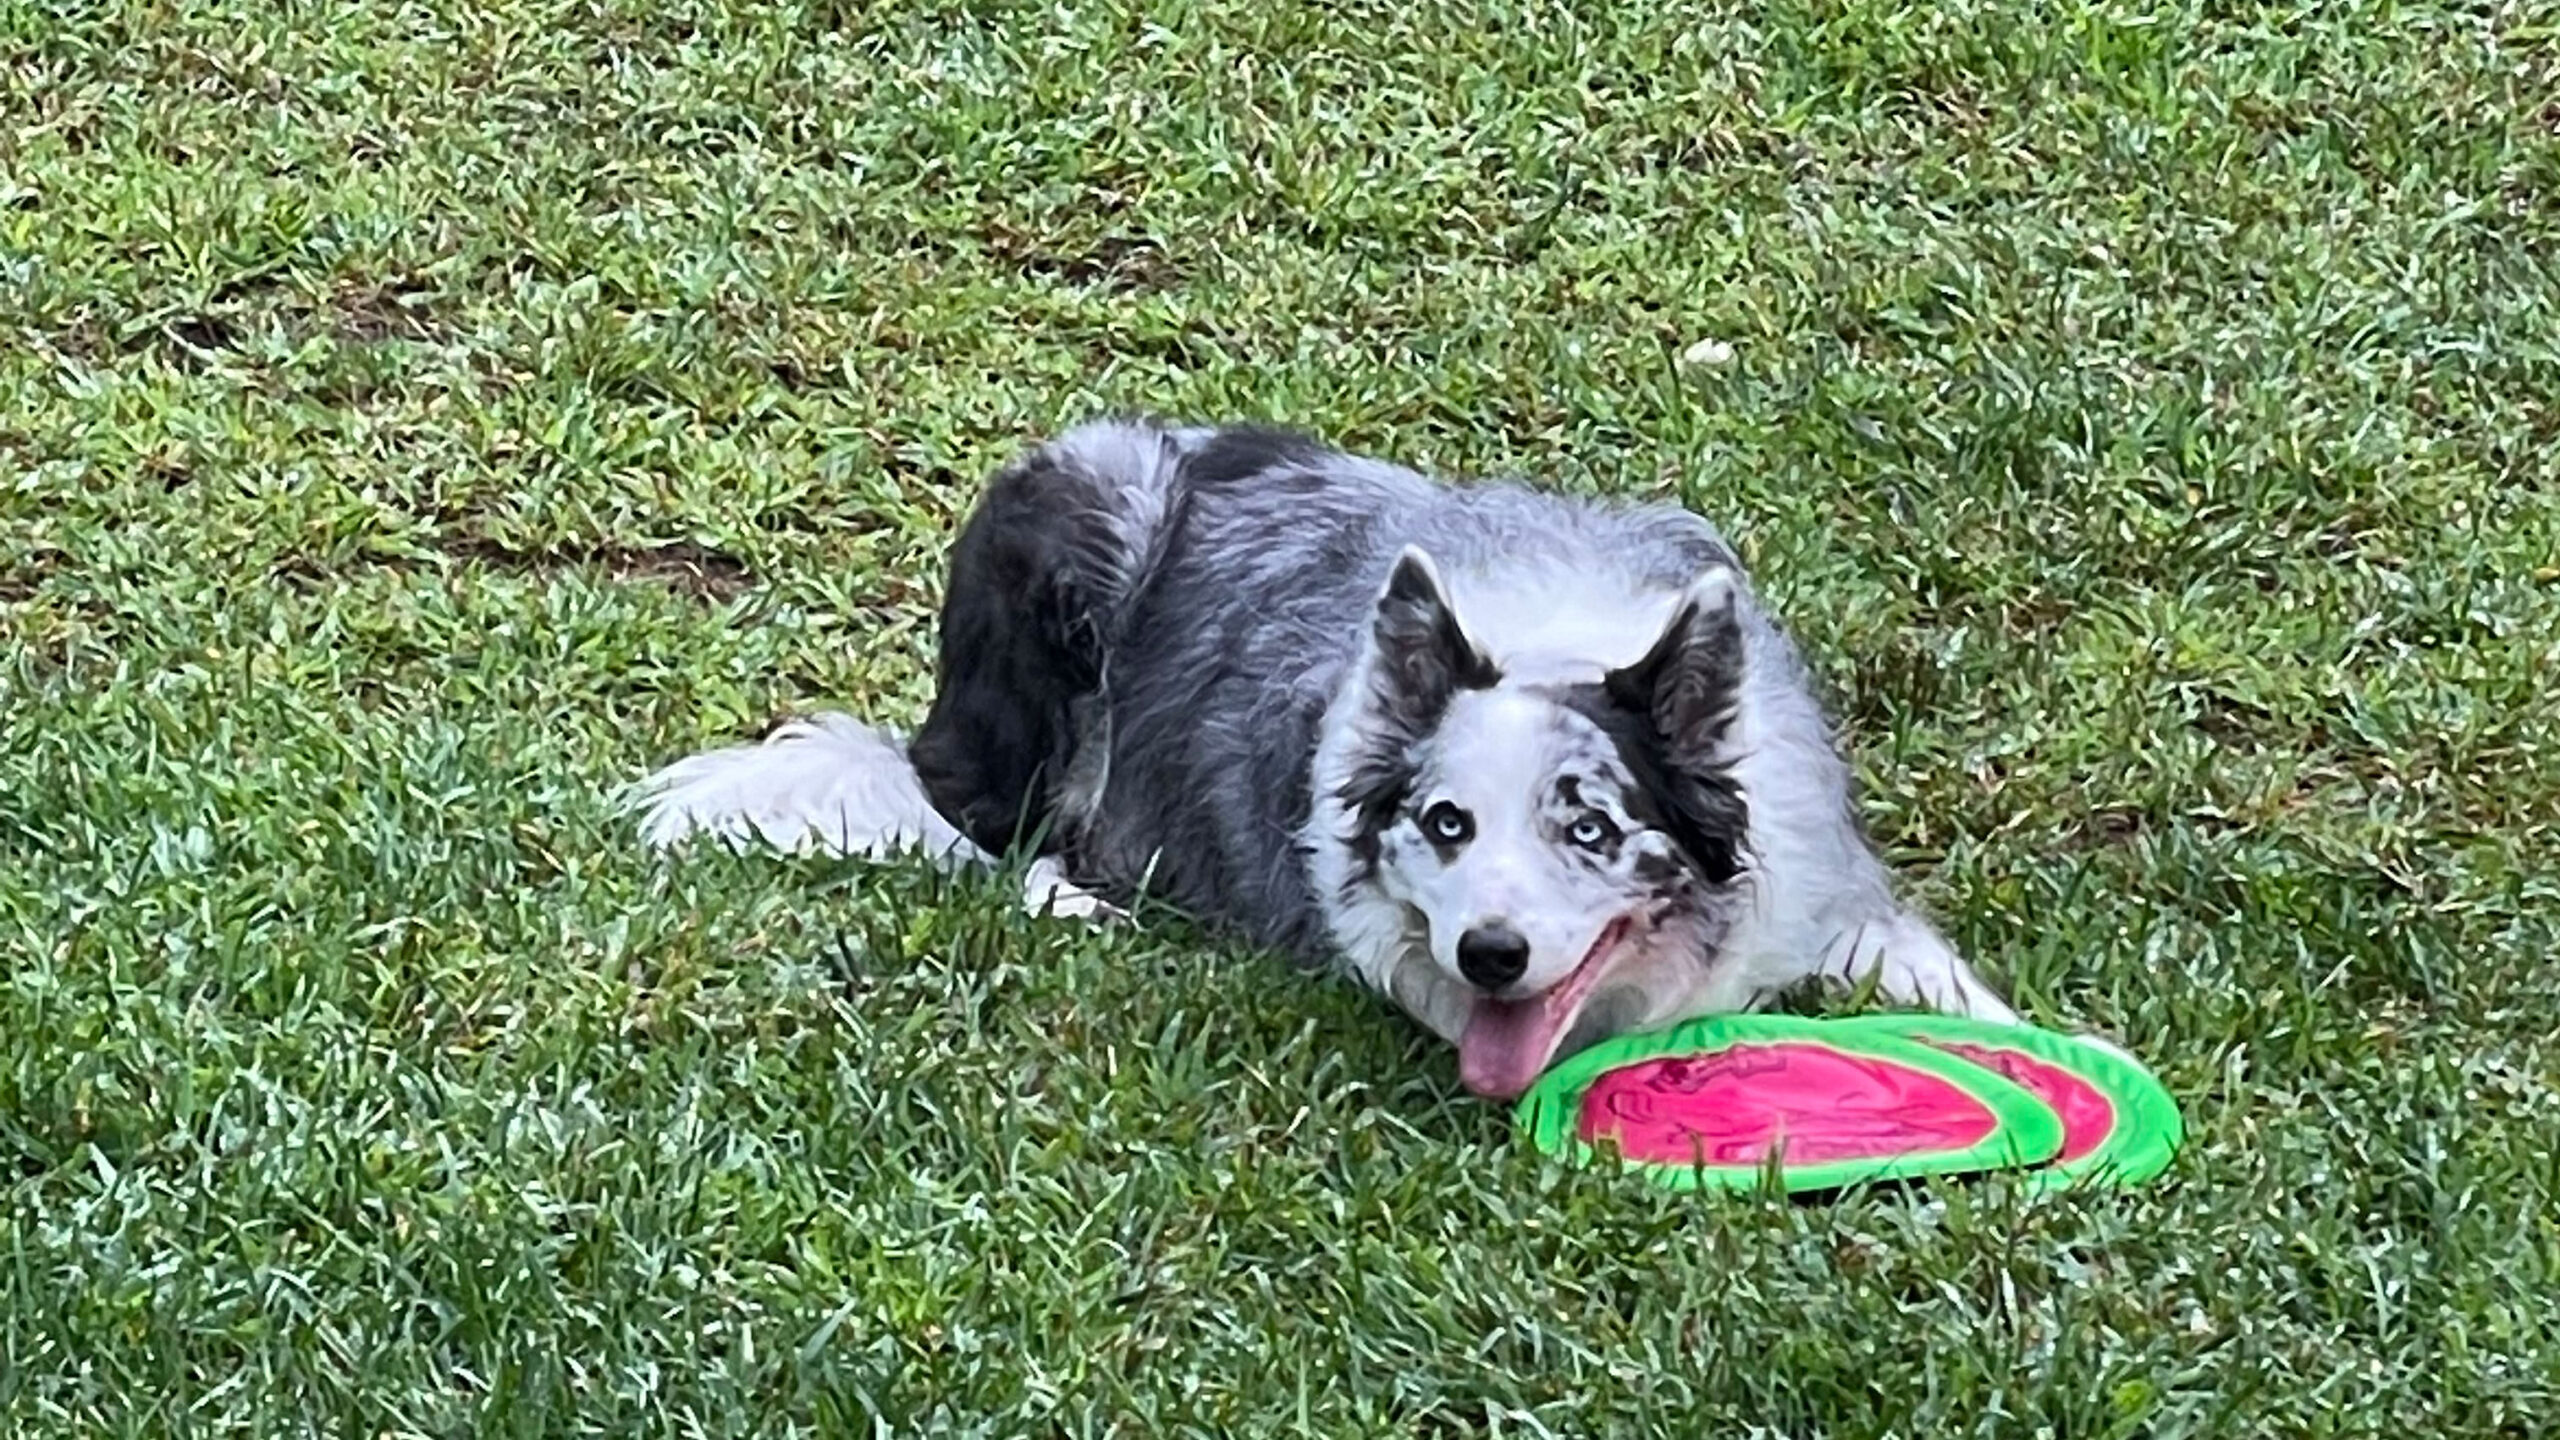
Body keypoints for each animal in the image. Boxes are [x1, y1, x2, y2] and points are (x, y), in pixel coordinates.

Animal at [624, 420, 2017, 1091]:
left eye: (1590, 828)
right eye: (1445, 824)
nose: (1490, 953)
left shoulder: (1830, 889)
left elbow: (1946, 984)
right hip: (1083, 509)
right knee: (1010, 835)